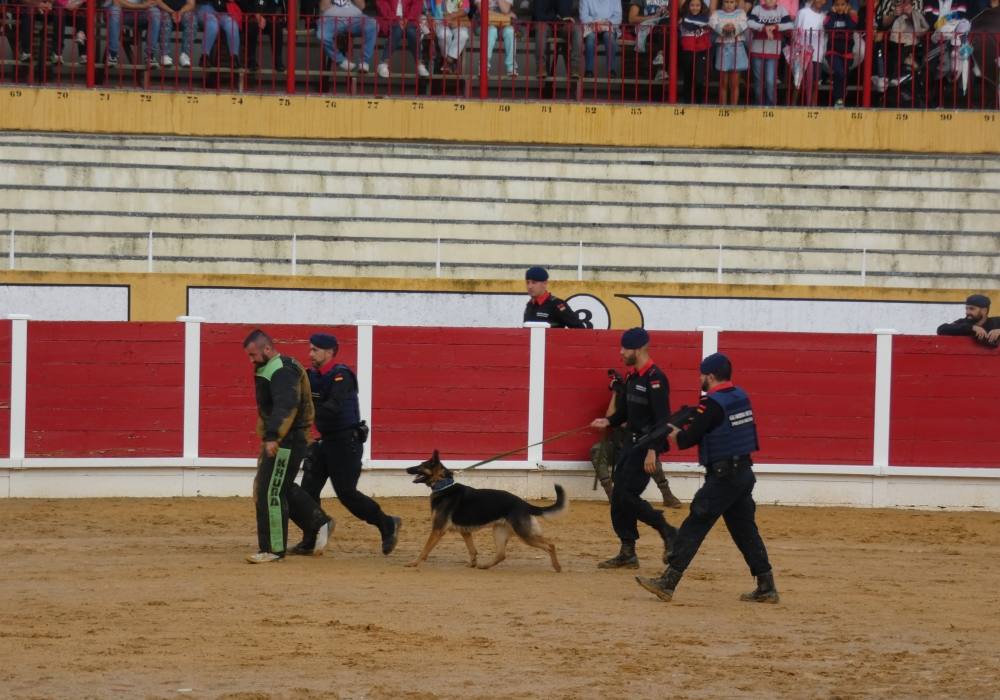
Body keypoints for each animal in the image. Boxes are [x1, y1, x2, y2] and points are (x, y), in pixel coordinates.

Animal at [404, 454, 568, 568]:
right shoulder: (465, 532)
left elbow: (425, 549)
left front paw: (414, 563)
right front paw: (472, 564)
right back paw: (484, 566)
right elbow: (472, 550)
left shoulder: (437, 530)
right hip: (499, 532)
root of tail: (523, 504)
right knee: (501, 555)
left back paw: (557, 567)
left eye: (421, 465)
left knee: (550, 545)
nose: (406, 469)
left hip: (524, 534)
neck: (444, 485)